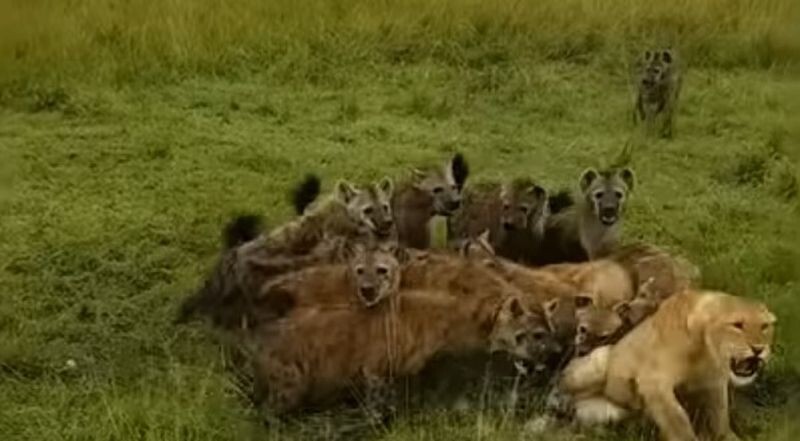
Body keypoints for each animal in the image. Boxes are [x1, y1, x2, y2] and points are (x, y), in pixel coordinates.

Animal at [557, 290, 776, 441]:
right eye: (737, 325)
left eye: (765, 326)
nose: (759, 349)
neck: (706, 352)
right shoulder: (653, 381)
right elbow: (678, 420)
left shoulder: (714, 383)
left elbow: (720, 418)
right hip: (602, 355)